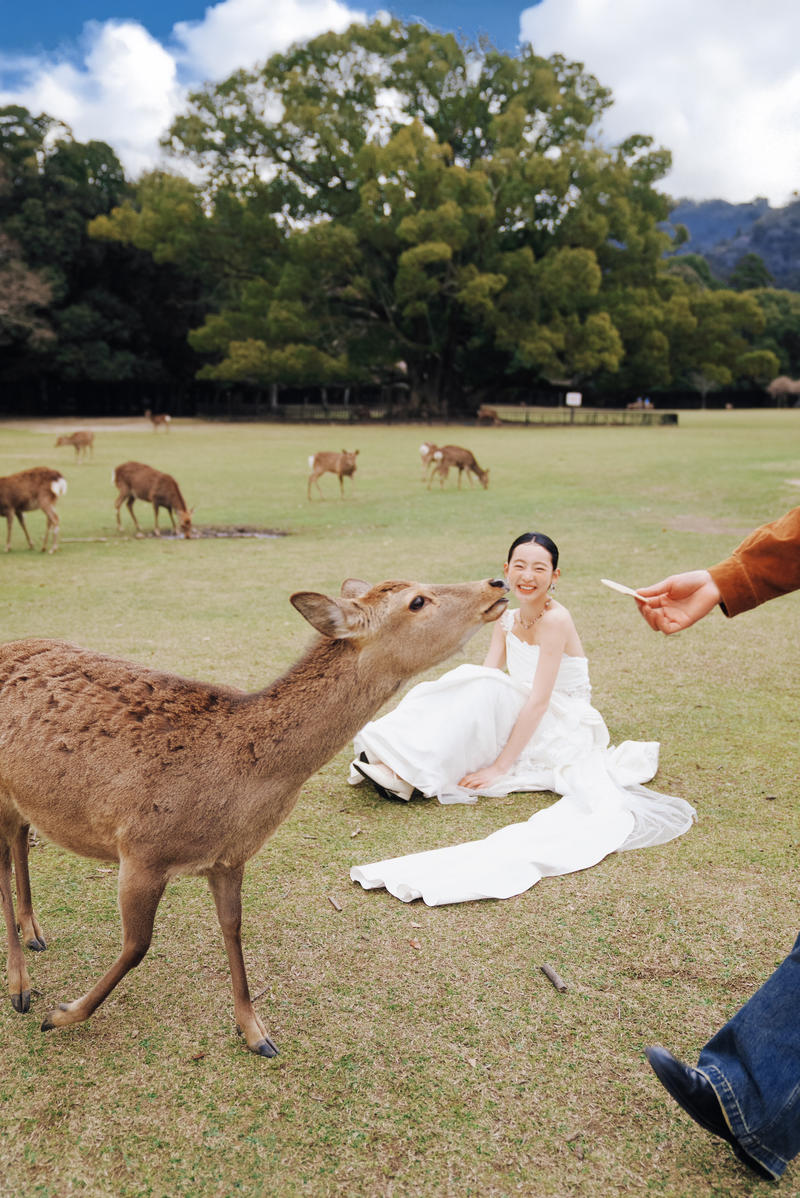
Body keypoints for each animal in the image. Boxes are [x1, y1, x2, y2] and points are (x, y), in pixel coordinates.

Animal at [0, 575, 508, 1057]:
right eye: (417, 601)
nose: (497, 584)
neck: (247, 784)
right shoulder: (142, 849)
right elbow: (136, 945)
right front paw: (60, 1014)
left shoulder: (230, 857)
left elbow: (233, 928)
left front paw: (255, 1032)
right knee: (4, 863)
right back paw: (21, 985)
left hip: (21, 798)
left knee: (21, 839)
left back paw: (34, 931)